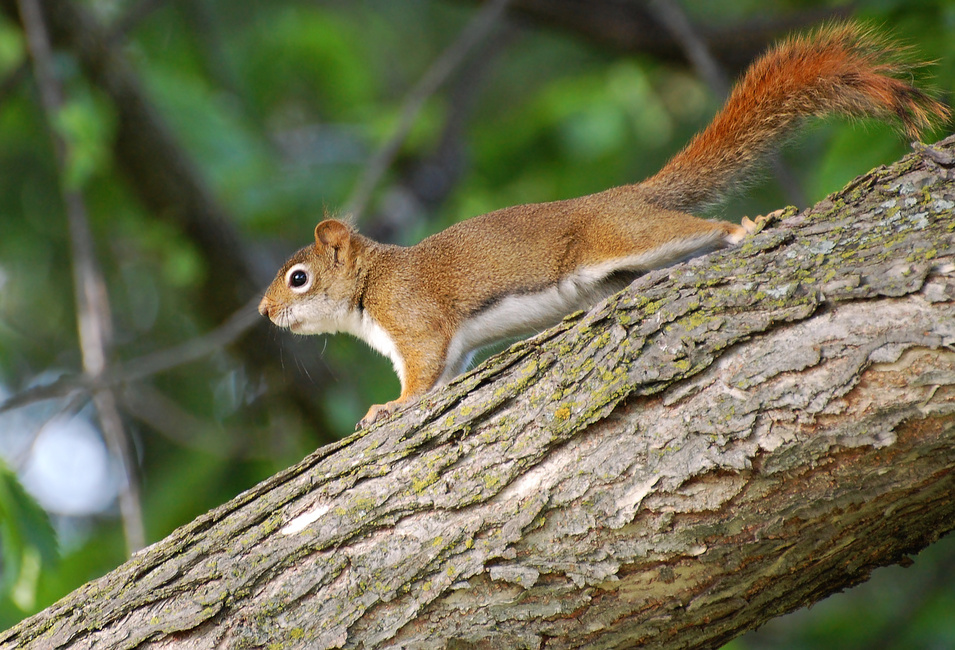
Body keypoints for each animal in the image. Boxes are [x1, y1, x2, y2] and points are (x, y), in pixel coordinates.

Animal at [260, 24, 948, 426]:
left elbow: (422, 373)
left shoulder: (415, 318)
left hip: (627, 234)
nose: (265, 314)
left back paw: (747, 228)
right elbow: (445, 375)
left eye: (297, 277)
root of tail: (633, 194)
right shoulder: (447, 346)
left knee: (704, 228)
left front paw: (390, 406)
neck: (371, 286)